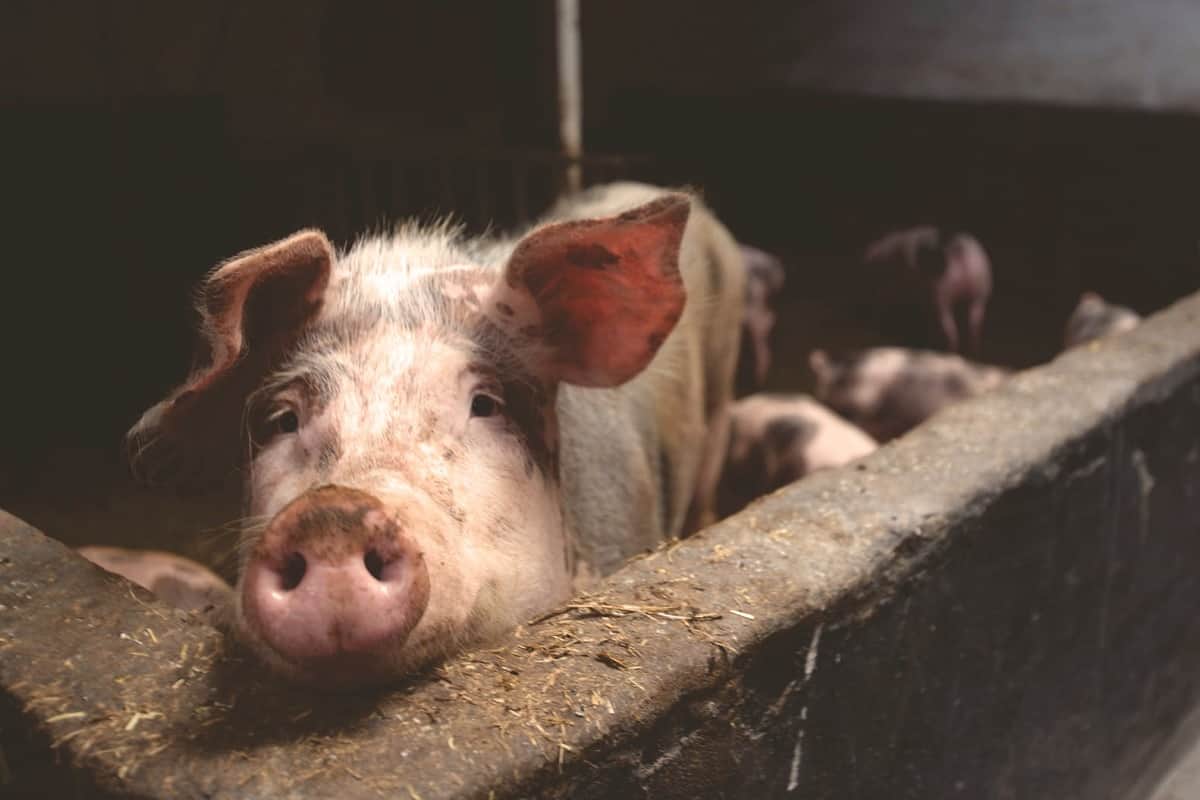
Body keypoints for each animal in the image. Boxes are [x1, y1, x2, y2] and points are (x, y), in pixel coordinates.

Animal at [863, 226, 993, 355]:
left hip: (940, 298)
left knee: (948, 328)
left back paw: (946, 351)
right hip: (976, 298)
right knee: (972, 326)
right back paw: (969, 352)